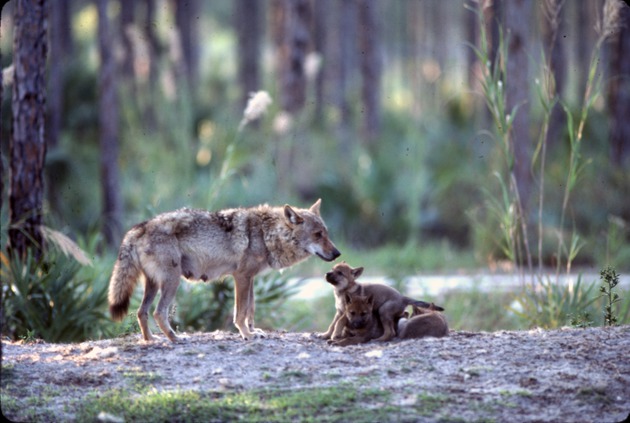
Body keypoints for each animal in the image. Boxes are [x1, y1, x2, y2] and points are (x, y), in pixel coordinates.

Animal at [111, 200, 344, 342]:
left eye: (326, 233)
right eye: (317, 235)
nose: (337, 253)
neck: (266, 234)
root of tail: (140, 227)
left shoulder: (250, 279)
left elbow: (250, 309)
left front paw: (253, 331)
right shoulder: (241, 277)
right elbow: (240, 312)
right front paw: (246, 335)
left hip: (153, 284)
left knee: (141, 312)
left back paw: (150, 339)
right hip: (172, 282)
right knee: (159, 313)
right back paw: (175, 338)